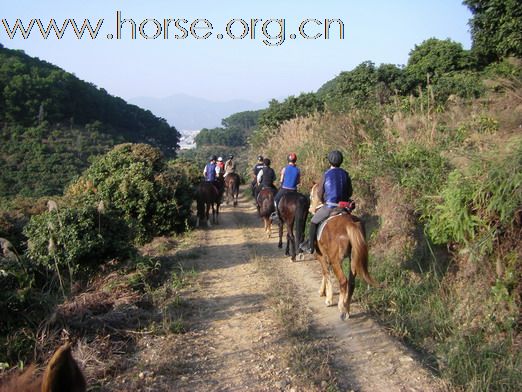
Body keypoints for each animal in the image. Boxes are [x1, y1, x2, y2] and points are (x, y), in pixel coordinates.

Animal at [306, 183, 376, 318]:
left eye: (311, 195)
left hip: (336, 261)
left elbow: (326, 273)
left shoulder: (321, 256)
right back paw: (347, 308)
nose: (310, 209)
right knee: (351, 283)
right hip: (353, 259)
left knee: (343, 281)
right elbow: (325, 273)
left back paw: (341, 307)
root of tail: (350, 224)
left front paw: (328, 299)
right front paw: (323, 292)